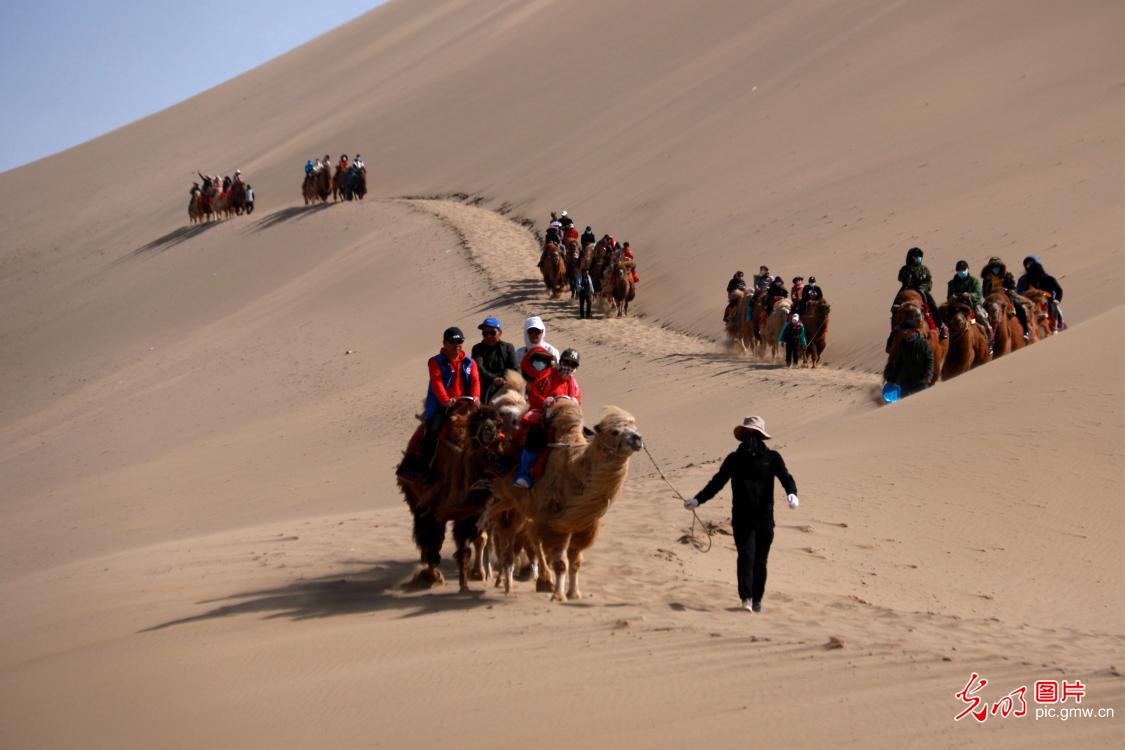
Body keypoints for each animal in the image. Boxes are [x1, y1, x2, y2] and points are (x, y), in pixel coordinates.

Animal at [393, 398, 504, 593]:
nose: (489, 430)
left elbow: (465, 549)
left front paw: (465, 585)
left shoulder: (468, 515)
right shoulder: (434, 510)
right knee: (426, 540)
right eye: (476, 422)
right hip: (415, 496)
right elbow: (433, 545)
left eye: (498, 422)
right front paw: (432, 578)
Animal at [486, 402, 643, 602]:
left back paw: (538, 580)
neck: (574, 472)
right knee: (503, 532)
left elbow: (575, 562)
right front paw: (558, 596)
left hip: (519, 506)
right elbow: (561, 563)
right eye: (615, 431)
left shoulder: (579, 525)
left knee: (527, 536)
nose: (637, 438)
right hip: (507, 497)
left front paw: (574, 593)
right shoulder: (555, 522)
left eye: (634, 428)